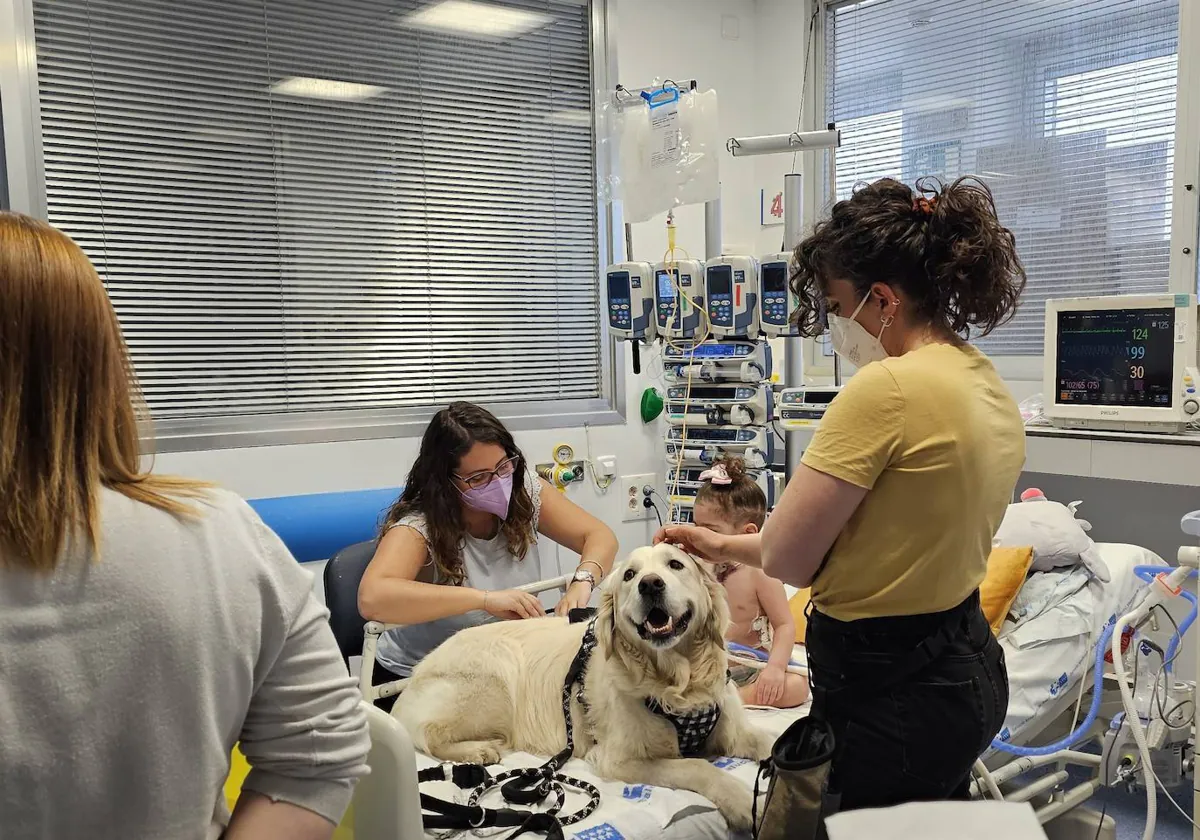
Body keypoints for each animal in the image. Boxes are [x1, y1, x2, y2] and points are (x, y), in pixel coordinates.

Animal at [393, 544, 768, 825]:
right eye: (629, 575)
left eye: (676, 564)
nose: (650, 584)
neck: (676, 683)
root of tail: (410, 681)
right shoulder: (618, 759)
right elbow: (697, 765)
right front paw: (743, 802)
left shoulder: (732, 728)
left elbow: (767, 740)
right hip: (495, 677)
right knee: (429, 733)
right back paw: (478, 750)